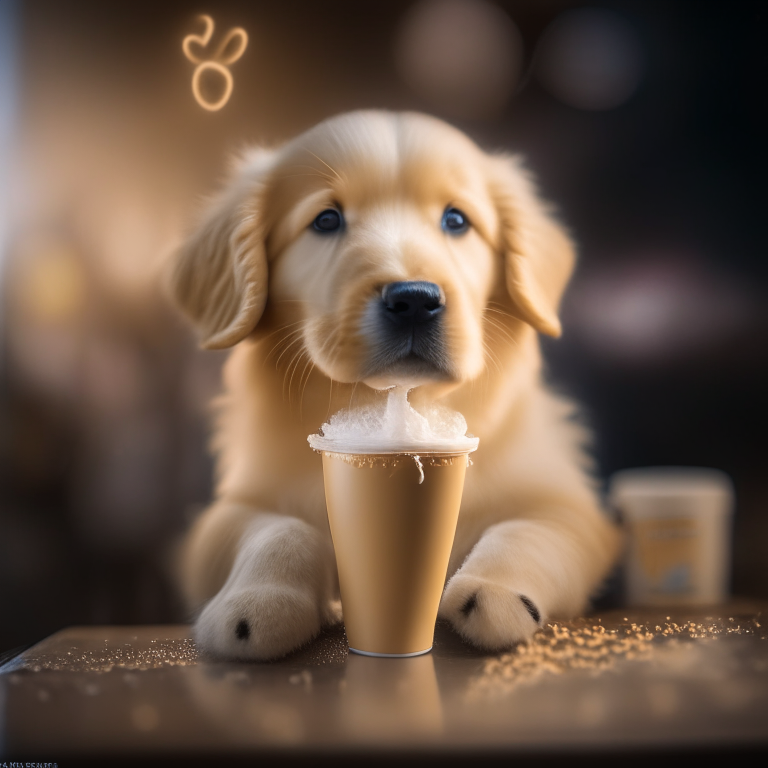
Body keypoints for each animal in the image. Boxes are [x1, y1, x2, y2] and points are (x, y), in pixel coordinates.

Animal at [171, 108, 620, 660]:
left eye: (456, 220)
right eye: (326, 220)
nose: (414, 300)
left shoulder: (571, 508)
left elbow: (528, 528)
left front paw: (494, 592)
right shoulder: (223, 516)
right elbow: (277, 529)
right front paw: (258, 602)